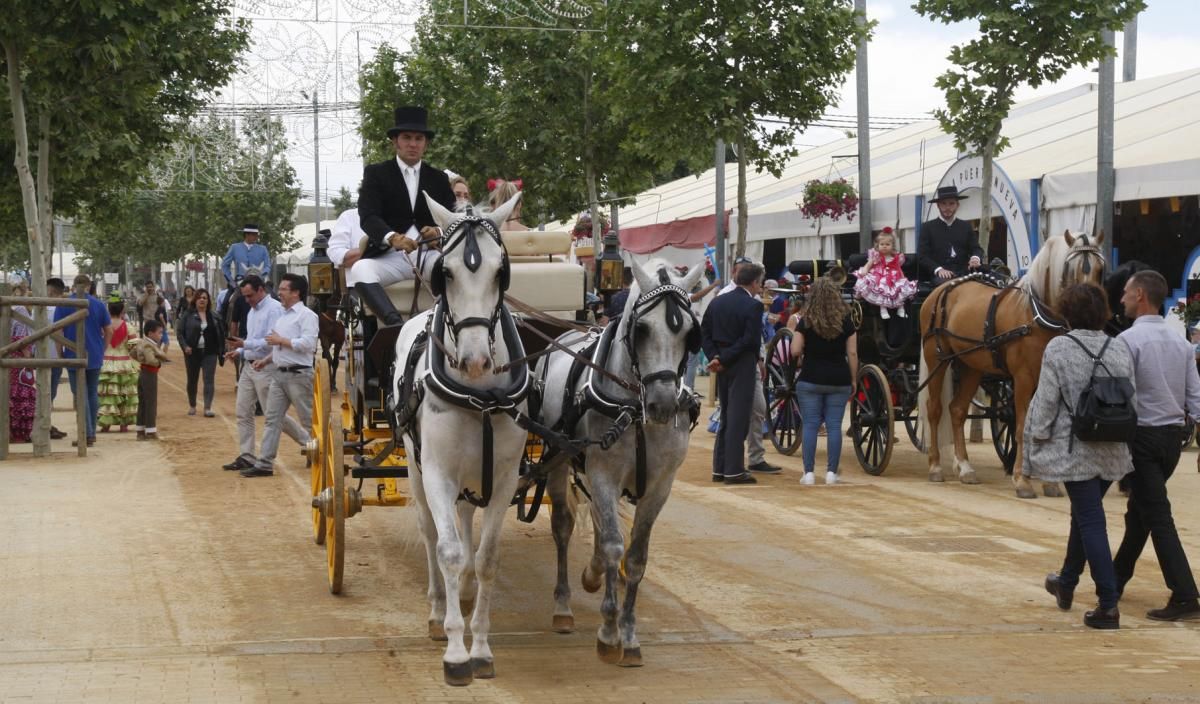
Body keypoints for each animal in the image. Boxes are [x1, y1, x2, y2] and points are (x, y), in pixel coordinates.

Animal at [391, 189, 528, 686]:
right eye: (444, 272)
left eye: (501, 271)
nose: (473, 361)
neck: (480, 397)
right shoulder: (437, 473)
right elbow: (448, 551)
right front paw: (455, 650)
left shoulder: (504, 479)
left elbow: (486, 559)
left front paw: (482, 647)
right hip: (416, 470)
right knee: (431, 532)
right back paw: (438, 609)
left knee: (465, 521)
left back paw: (463, 595)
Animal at [535, 257, 700, 666]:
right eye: (641, 329)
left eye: (691, 333)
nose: (663, 404)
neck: (634, 411)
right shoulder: (603, 474)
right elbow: (613, 544)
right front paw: (609, 633)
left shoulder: (659, 486)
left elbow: (636, 556)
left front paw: (629, 633)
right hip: (560, 460)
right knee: (563, 525)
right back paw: (564, 606)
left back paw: (592, 574)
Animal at [916, 230, 1104, 496]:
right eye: (1071, 268)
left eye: (1100, 269)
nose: (1095, 309)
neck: (1035, 316)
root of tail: (940, 290)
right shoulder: (1023, 379)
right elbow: (1022, 427)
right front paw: (1022, 480)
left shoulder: (1047, 379)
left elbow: (1041, 428)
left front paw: (1049, 482)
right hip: (936, 358)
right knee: (934, 409)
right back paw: (935, 467)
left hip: (971, 366)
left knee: (957, 410)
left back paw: (965, 468)